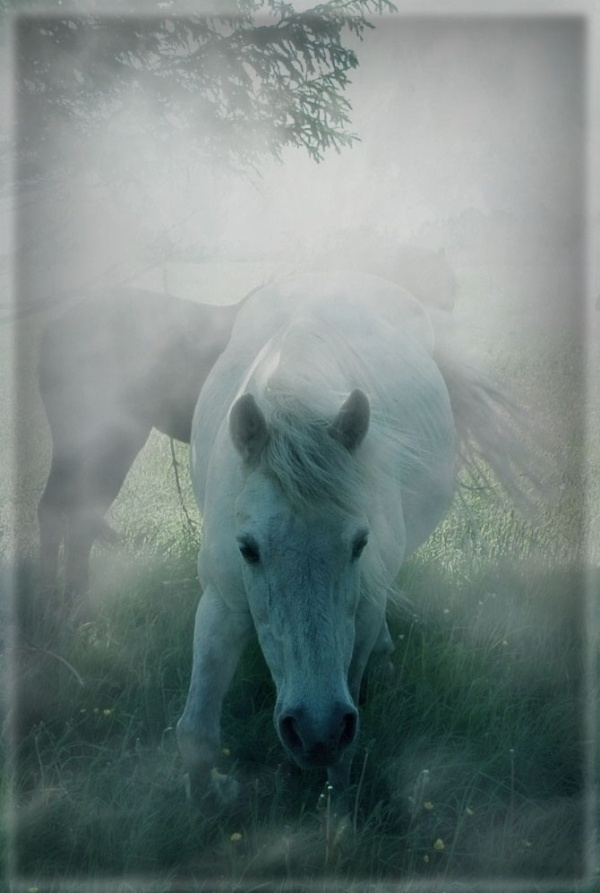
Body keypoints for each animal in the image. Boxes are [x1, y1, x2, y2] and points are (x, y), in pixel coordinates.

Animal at [176, 271, 532, 814]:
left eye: (359, 544)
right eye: (248, 549)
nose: (314, 731)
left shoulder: (362, 608)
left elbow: (345, 747)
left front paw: (338, 820)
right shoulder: (221, 601)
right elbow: (196, 729)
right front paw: (207, 800)